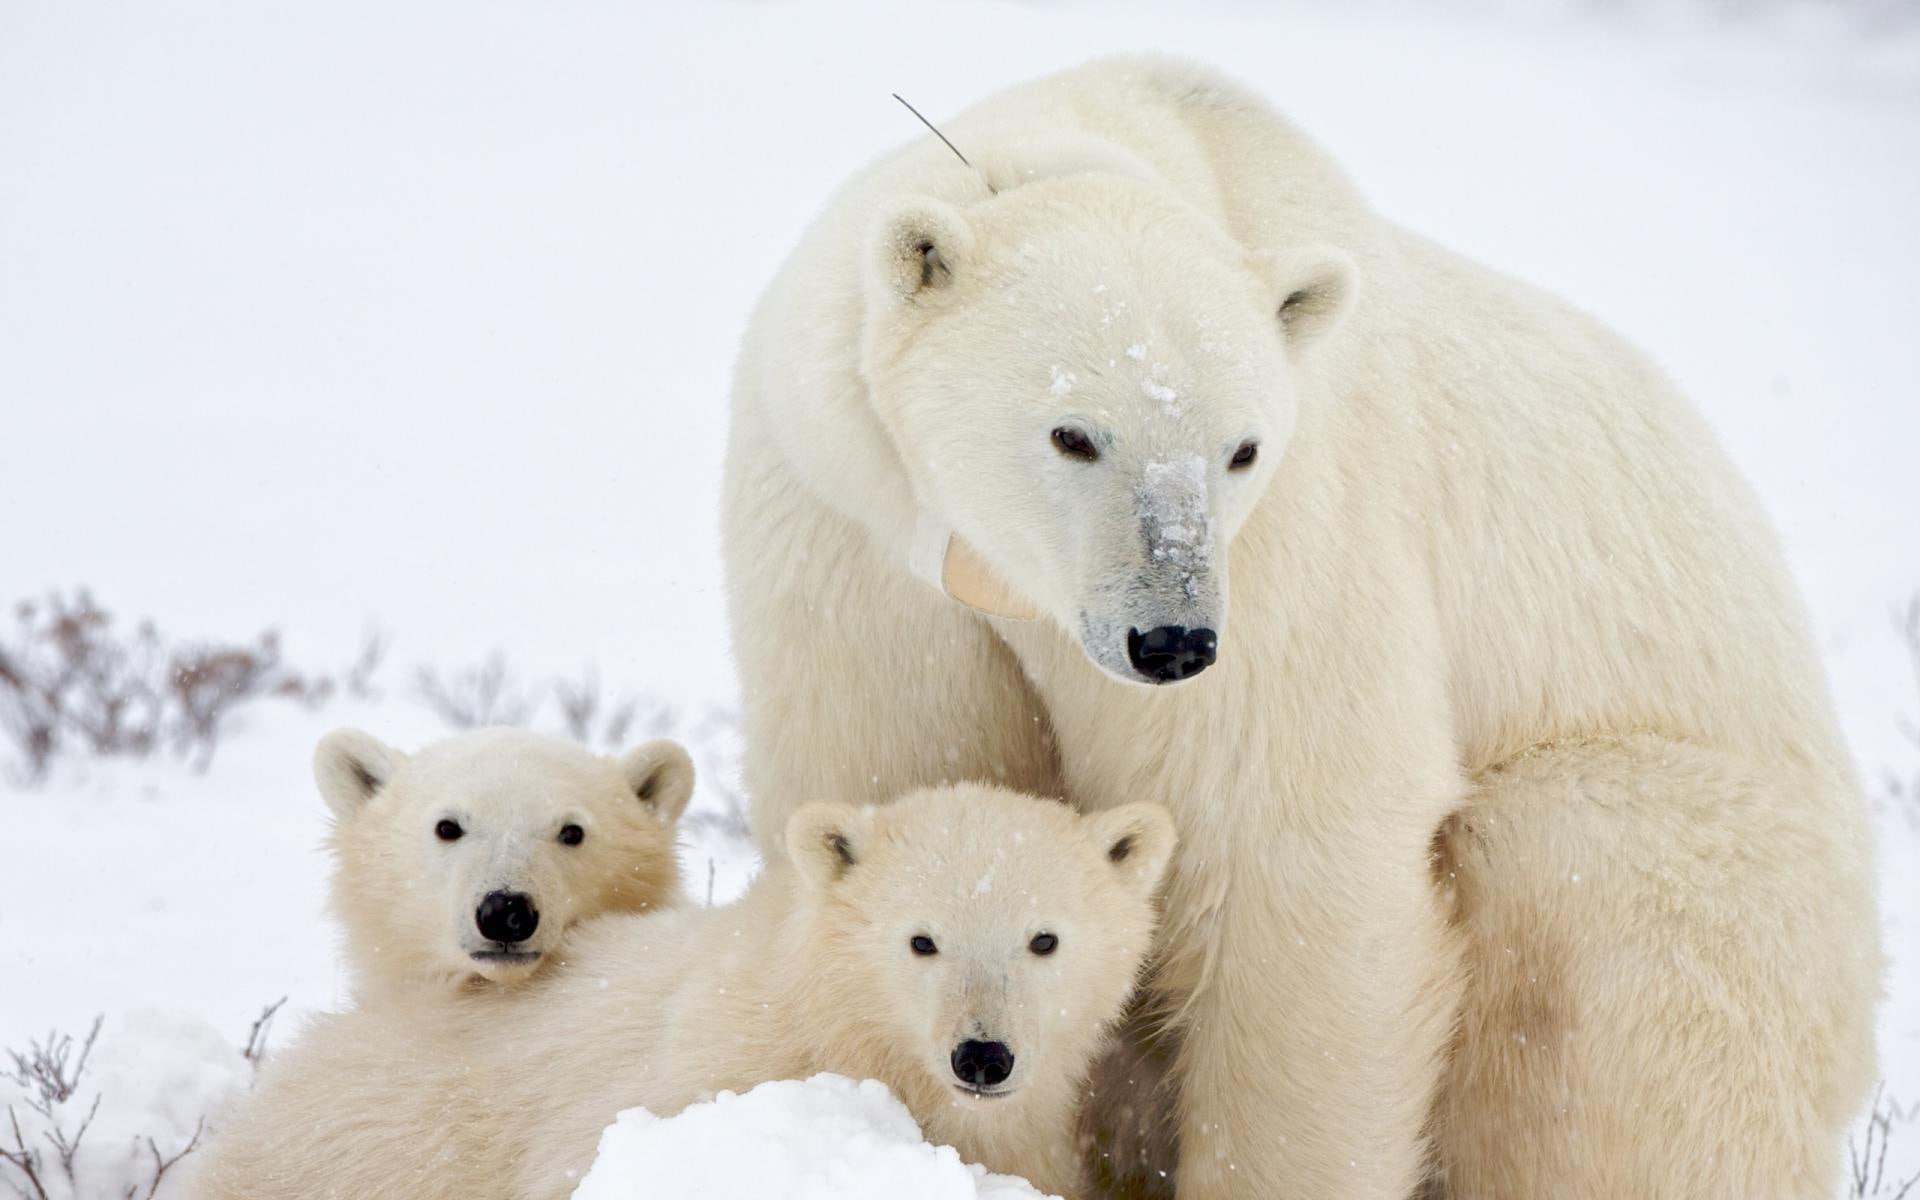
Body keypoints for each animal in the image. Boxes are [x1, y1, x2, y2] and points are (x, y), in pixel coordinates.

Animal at [719, 55, 1883, 1198]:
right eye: (1072, 433)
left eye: (1241, 448)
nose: (1173, 641)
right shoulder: (853, 531)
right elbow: (904, 771)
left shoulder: (1298, 537)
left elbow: (1288, 845)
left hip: (1720, 877)